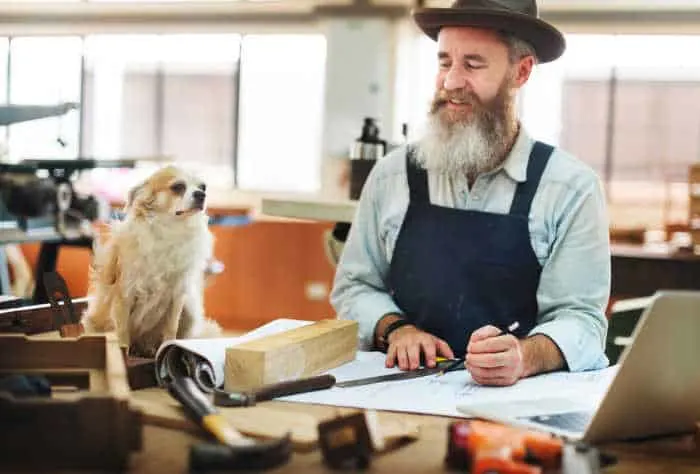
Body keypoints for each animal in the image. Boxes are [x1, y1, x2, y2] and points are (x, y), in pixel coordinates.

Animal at [83, 165, 223, 354]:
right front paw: (123, 354)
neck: (170, 230)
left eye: (203, 187)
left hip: (190, 309)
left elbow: (171, 328)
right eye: (178, 187)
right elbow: (122, 330)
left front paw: (168, 347)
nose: (201, 195)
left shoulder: (177, 296)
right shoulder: (125, 293)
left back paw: (149, 349)